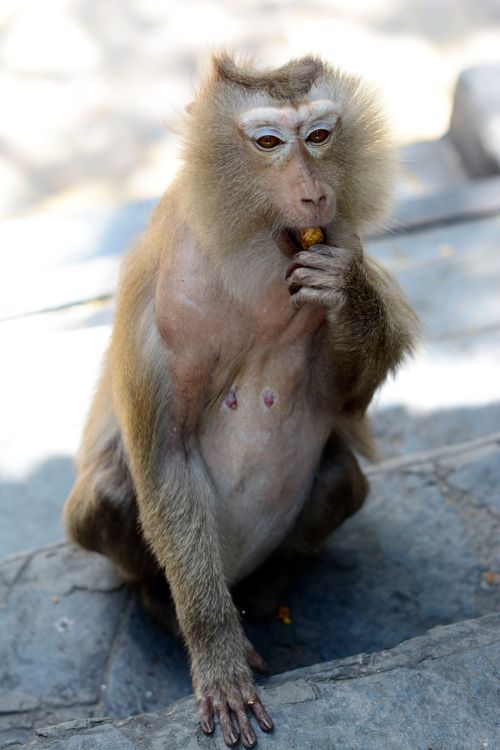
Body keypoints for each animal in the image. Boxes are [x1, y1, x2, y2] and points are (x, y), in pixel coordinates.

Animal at [63, 53, 418, 748]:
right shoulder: (155, 302)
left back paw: (274, 580)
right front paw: (216, 655)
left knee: (341, 475)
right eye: (269, 143)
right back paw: (163, 604)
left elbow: (347, 404)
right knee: (118, 492)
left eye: (319, 136)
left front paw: (347, 293)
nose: (314, 193)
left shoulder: (341, 239)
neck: (256, 251)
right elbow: (166, 461)